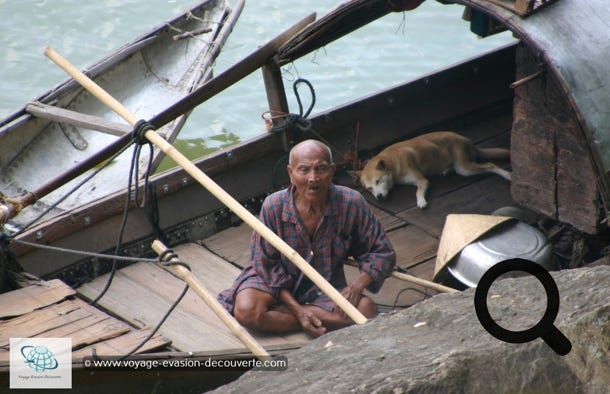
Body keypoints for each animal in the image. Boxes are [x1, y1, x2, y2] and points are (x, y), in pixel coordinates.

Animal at [346, 131, 508, 208]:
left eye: (378, 181)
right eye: (369, 188)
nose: (379, 197)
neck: (394, 162)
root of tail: (469, 142)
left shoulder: (422, 180)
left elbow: (418, 191)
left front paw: (421, 201)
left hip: (464, 168)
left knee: (491, 165)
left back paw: (507, 175)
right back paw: (446, 170)